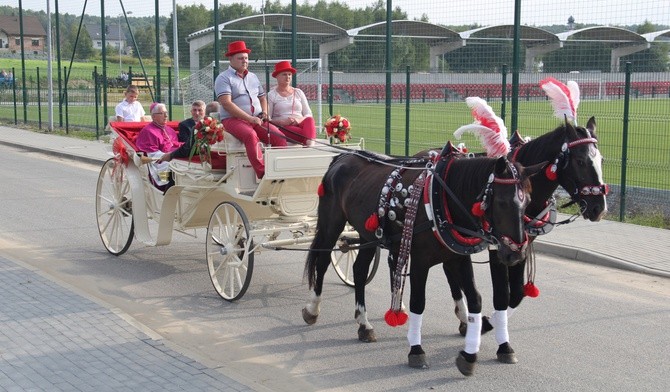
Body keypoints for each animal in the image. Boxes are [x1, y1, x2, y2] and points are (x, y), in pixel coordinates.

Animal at [304, 149, 544, 376]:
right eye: (502, 203)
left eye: (527, 202)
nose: (515, 253)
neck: (442, 198)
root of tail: (343, 157)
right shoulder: (420, 260)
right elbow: (418, 302)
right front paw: (416, 350)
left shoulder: (458, 257)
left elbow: (475, 299)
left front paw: (469, 354)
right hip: (332, 223)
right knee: (322, 261)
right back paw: (313, 308)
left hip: (367, 234)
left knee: (360, 270)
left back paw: (364, 324)